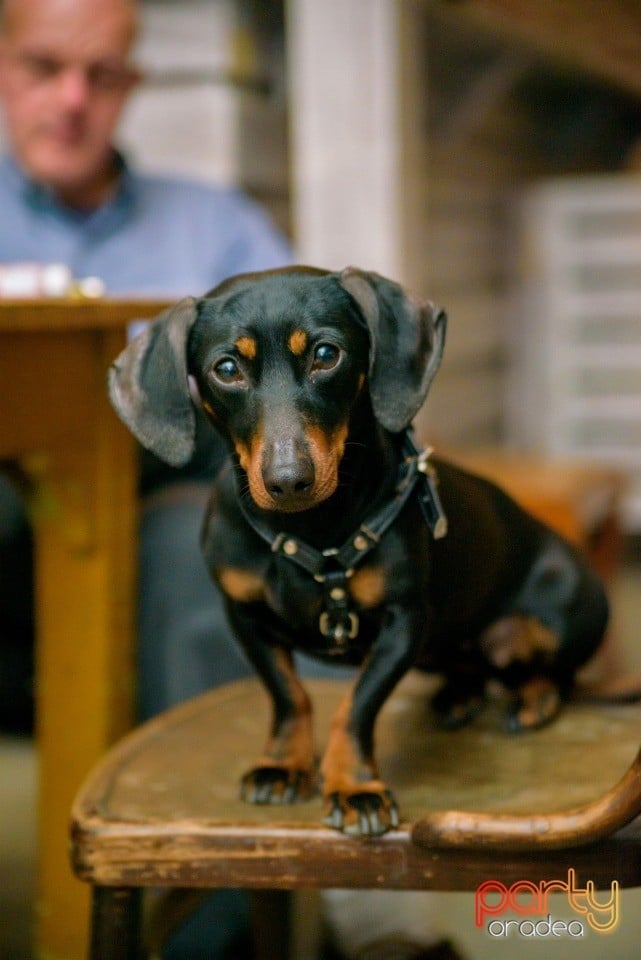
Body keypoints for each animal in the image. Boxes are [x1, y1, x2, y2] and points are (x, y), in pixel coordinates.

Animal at [107, 266, 608, 836]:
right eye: (226, 368)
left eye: (327, 354)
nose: (289, 480)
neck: (311, 530)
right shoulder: (244, 615)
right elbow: (288, 695)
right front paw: (282, 765)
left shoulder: (403, 621)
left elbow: (356, 706)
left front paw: (355, 789)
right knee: (474, 670)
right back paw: (460, 697)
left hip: (560, 614)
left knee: (557, 671)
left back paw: (534, 701)